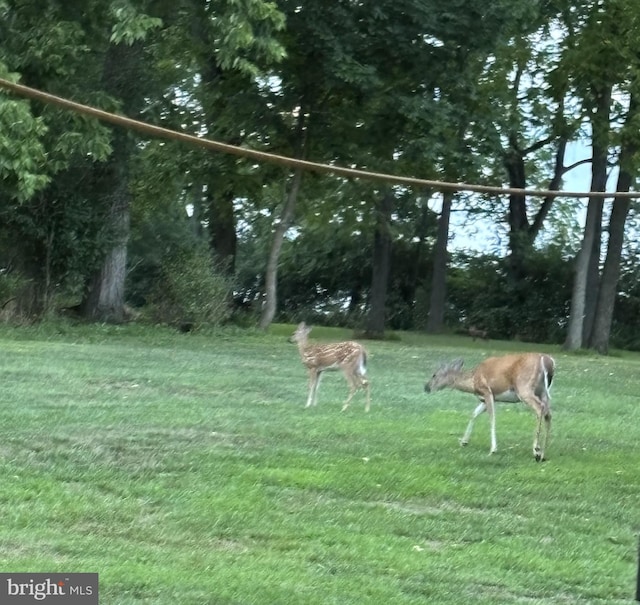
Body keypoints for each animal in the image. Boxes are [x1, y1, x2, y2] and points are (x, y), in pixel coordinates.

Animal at [422, 352, 552, 460]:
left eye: (434, 375)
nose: (426, 387)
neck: (472, 381)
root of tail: (546, 360)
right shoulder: (486, 399)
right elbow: (474, 414)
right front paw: (464, 441)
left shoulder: (487, 391)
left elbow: (491, 419)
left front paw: (493, 449)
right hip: (543, 392)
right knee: (548, 413)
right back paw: (543, 454)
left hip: (524, 387)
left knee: (540, 408)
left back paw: (536, 450)